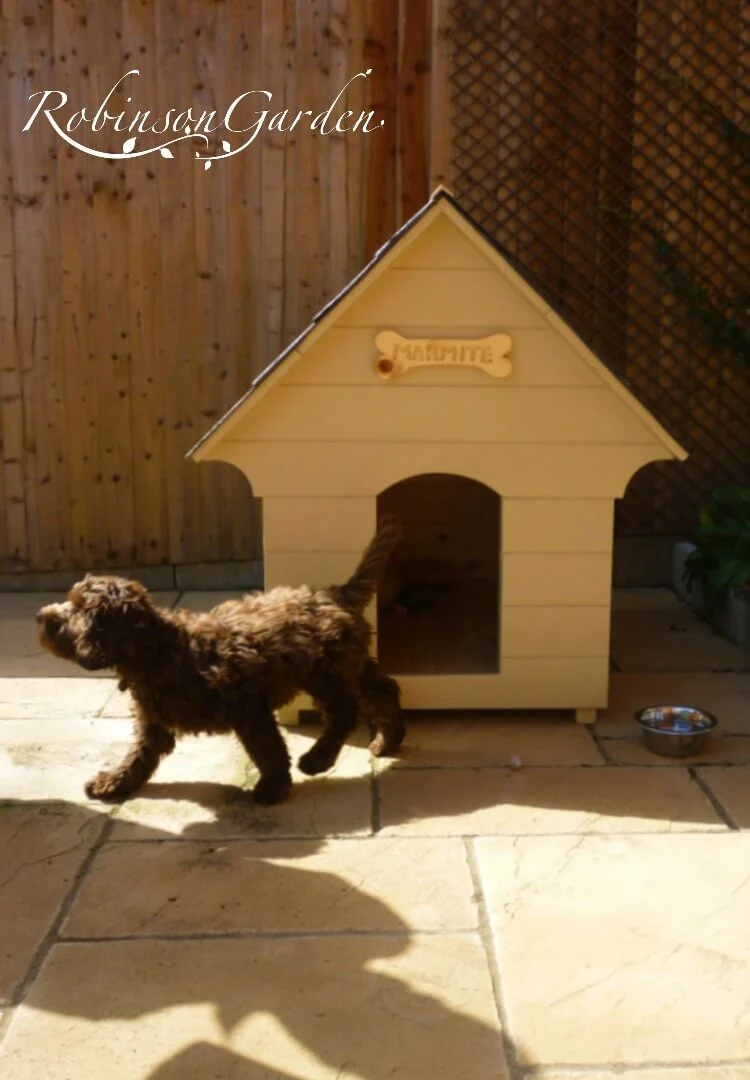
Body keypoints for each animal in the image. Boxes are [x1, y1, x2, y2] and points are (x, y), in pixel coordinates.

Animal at [36, 518, 406, 807]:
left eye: (79, 610)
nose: (41, 617)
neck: (162, 650)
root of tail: (334, 593)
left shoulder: (248, 708)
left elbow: (268, 749)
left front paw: (272, 788)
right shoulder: (155, 721)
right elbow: (138, 755)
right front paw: (114, 782)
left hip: (325, 672)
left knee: (346, 711)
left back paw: (317, 760)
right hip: (351, 664)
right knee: (383, 690)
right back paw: (389, 739)